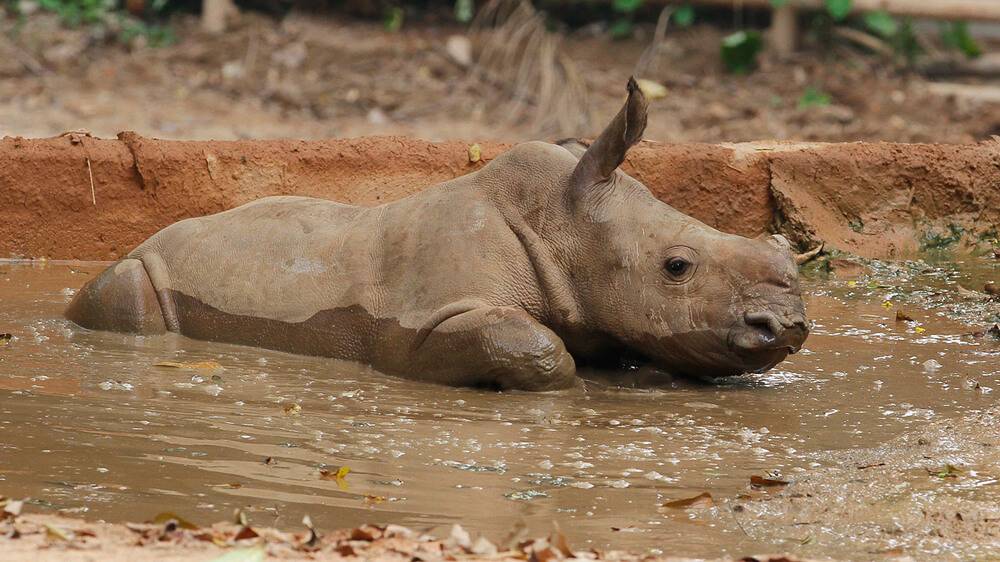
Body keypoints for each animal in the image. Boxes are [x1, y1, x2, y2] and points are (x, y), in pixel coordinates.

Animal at [66, 78, 808, 391]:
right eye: (677, 267)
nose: (790, 326)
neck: (561, 223)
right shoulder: (426, 324)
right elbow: (538, 351)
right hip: (137, 271)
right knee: (125, 296)